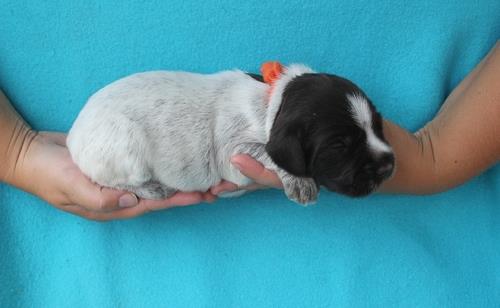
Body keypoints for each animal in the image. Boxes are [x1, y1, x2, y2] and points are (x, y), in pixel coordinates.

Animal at [67, 62, 394, 205]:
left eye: (378, 125)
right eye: (340, 145)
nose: (389, 165)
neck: (272, 104)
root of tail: (73, 135)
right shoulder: (233, 149)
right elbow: (266, 152)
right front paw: (300, 181)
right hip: (125, 148)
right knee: (110, 180)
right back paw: (152, 189)